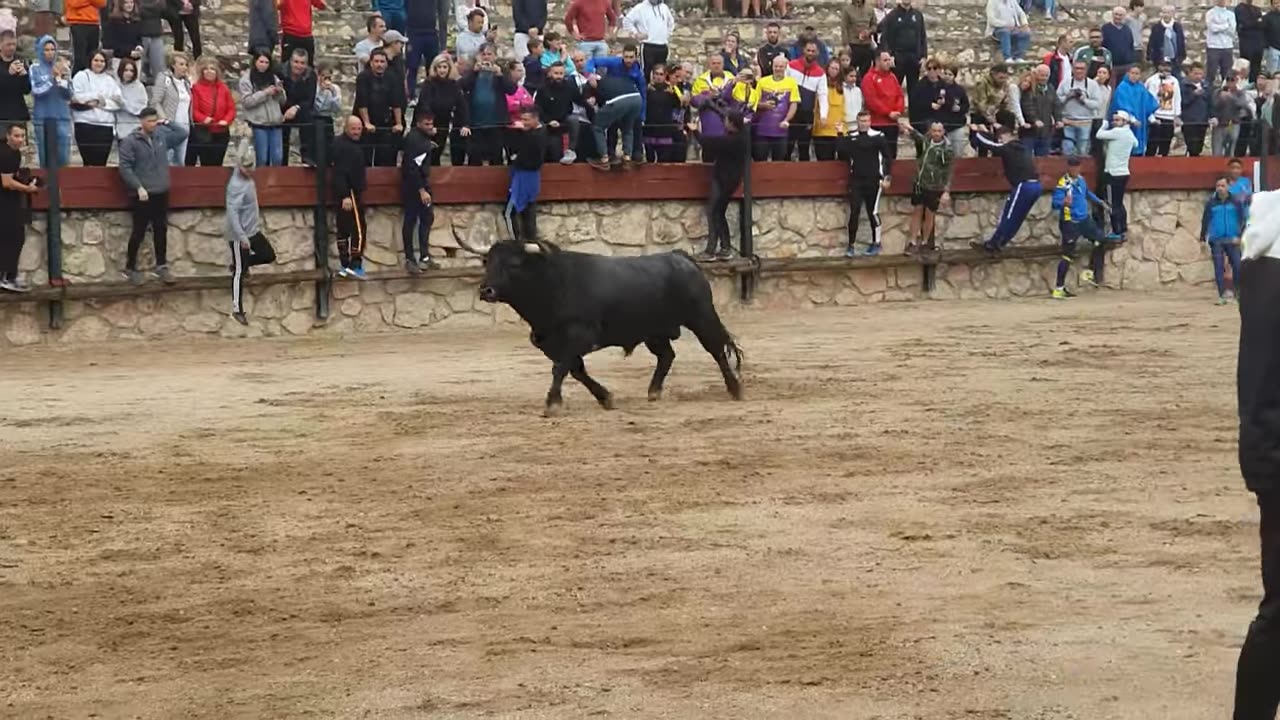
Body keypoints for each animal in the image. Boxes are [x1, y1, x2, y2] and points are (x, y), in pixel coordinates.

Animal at [455, 234, 747, 415]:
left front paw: (552, 403)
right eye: (488, 262)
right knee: (667, 355)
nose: (486, 290)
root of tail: (681, 257)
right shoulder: (549, 342)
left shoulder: (579, 336)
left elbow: (561, 368)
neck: (552, 285)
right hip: (654, 332)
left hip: (701, 316)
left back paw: (735, 389)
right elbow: (575, 370)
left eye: (514, 264)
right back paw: (653, 392)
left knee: (716, 349)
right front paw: (605, 397)